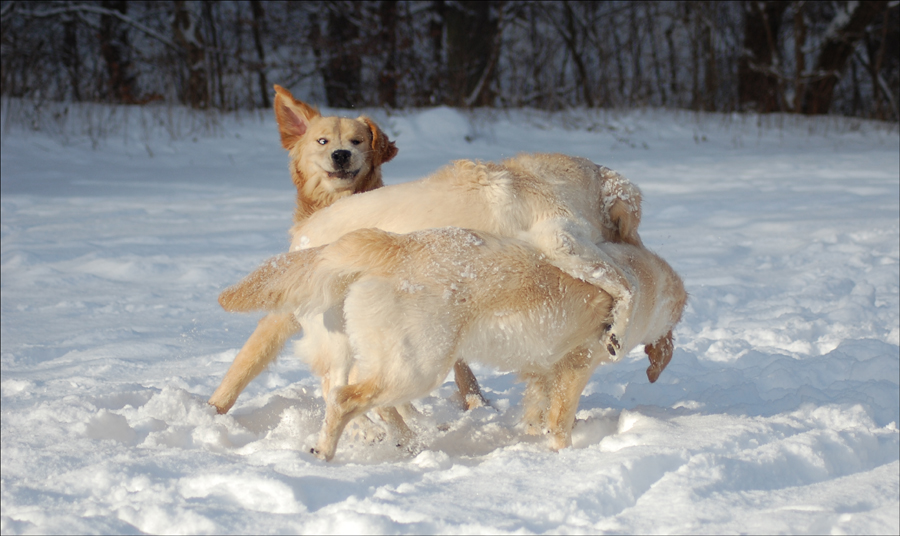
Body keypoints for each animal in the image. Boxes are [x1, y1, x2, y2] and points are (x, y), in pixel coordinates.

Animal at [211, 148, 648, 418]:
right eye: (636, 226)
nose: (645, 248)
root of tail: (304, 234)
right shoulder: (560, 238)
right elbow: (624, 285)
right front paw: (617, 332)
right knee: (340, 384)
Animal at [221, 226, 684, 460]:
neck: (643, 280)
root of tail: (391, 243)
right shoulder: (577, 365)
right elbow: (561, 418)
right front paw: (563, 453)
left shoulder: (543, 371)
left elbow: (538, 408)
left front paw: (535, 435)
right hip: (420, 366)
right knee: (345, 398)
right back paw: (326, 450)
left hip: (386, 359)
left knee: (363, 399)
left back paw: (403, 441)